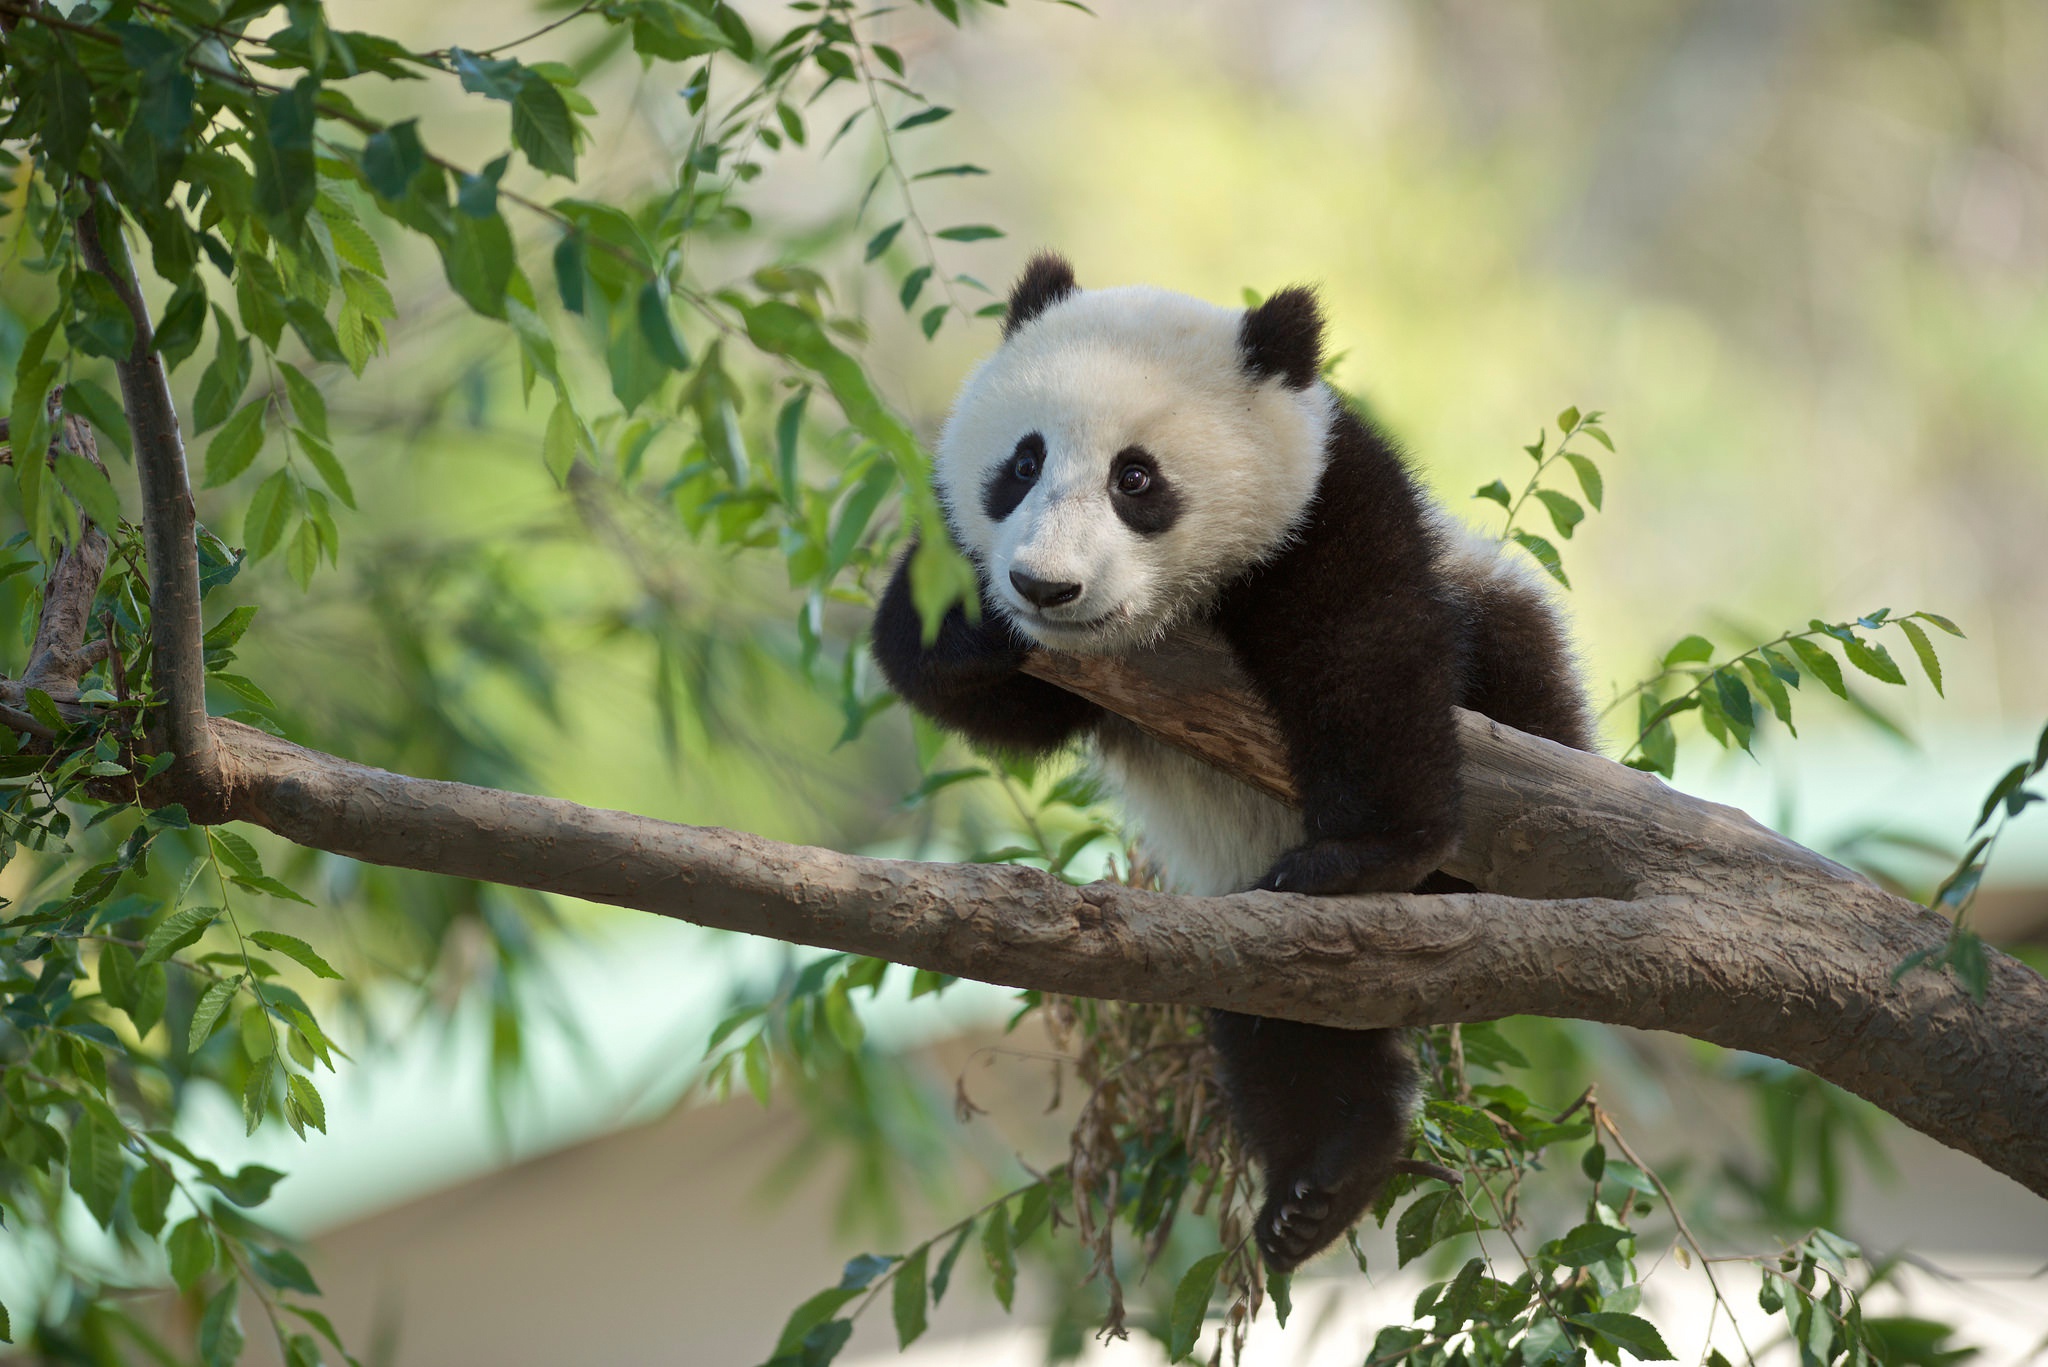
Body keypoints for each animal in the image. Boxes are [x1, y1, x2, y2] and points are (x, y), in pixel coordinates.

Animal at [872, 254, 1589, 1270]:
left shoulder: (1329, 502)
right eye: (1023, 462)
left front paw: (1364, 850)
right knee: (1285, 1022)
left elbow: (1361, 649)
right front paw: (960, 620)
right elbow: (992, 693)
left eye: (1136, 476)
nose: (1046, 585)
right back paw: (1323, 1177)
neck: (1179, 608)